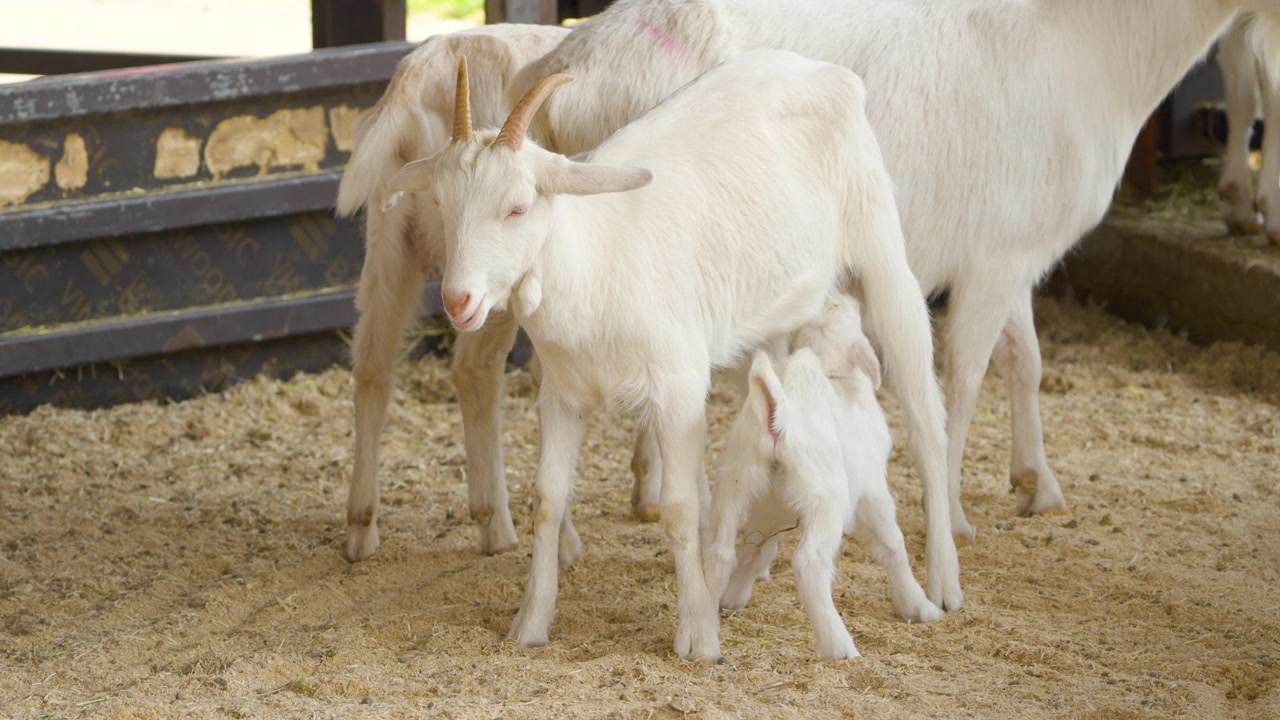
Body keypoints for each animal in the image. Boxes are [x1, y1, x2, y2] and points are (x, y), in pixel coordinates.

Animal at [334, 23, 568, 562]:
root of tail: (418, 78)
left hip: (389, 239)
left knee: (373, 365)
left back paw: (361, 527)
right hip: (483, 274)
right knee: (474, 370)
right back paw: (497, 523)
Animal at [705, 296, 942, 660]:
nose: (845, 297)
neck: (834, 376)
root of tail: (780, 413)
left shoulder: (771, 508)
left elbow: (759, 549)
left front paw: (734, 597)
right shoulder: (873, 491)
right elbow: (892, 544)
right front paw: (919, 605)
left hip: (735, 483)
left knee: (720, 552)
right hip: (826, 499)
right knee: (810, 563)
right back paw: (839, 645)